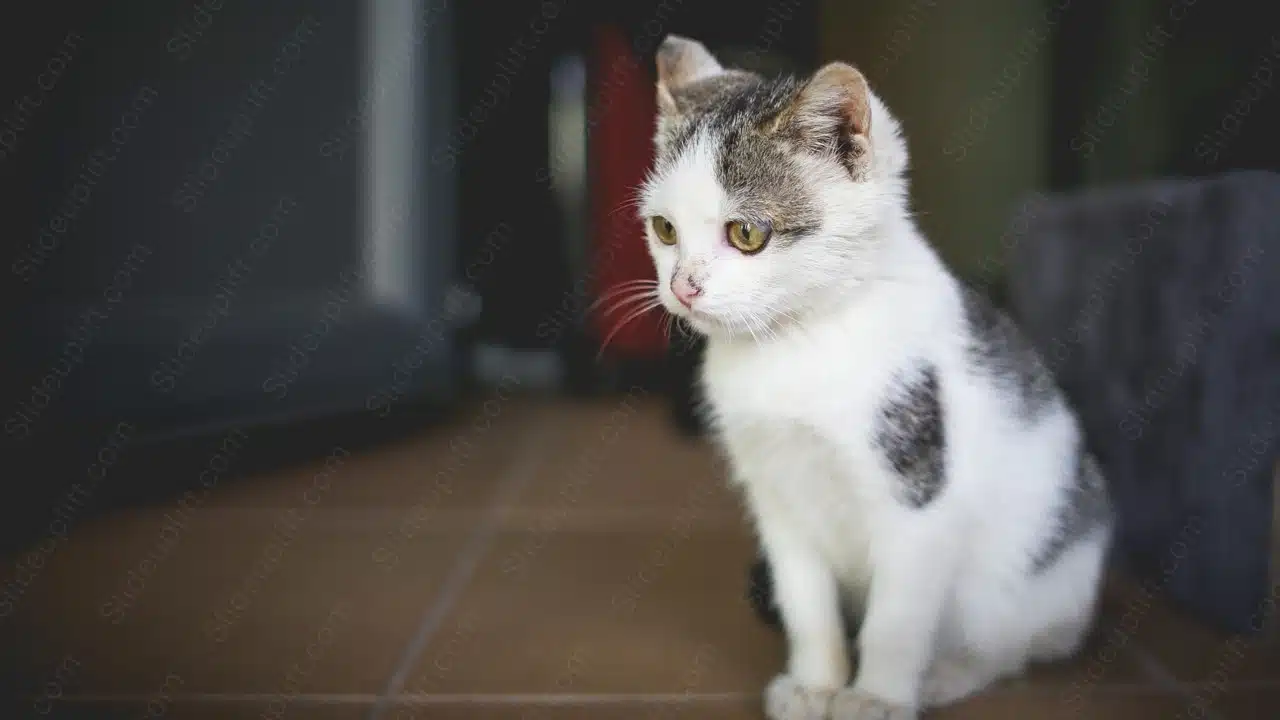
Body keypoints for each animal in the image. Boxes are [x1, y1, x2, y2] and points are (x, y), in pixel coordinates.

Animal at [634, 37, 1116, 717]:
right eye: (665, 229)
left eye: (747, 233)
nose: (682, 287)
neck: (797, 346)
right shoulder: (776, 493)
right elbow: (804, 598)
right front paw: (816, 683)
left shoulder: (920, 494)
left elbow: (899, 613)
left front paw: (878, 696)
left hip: (1034, 577)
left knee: (1013, 644)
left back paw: (949, 673)